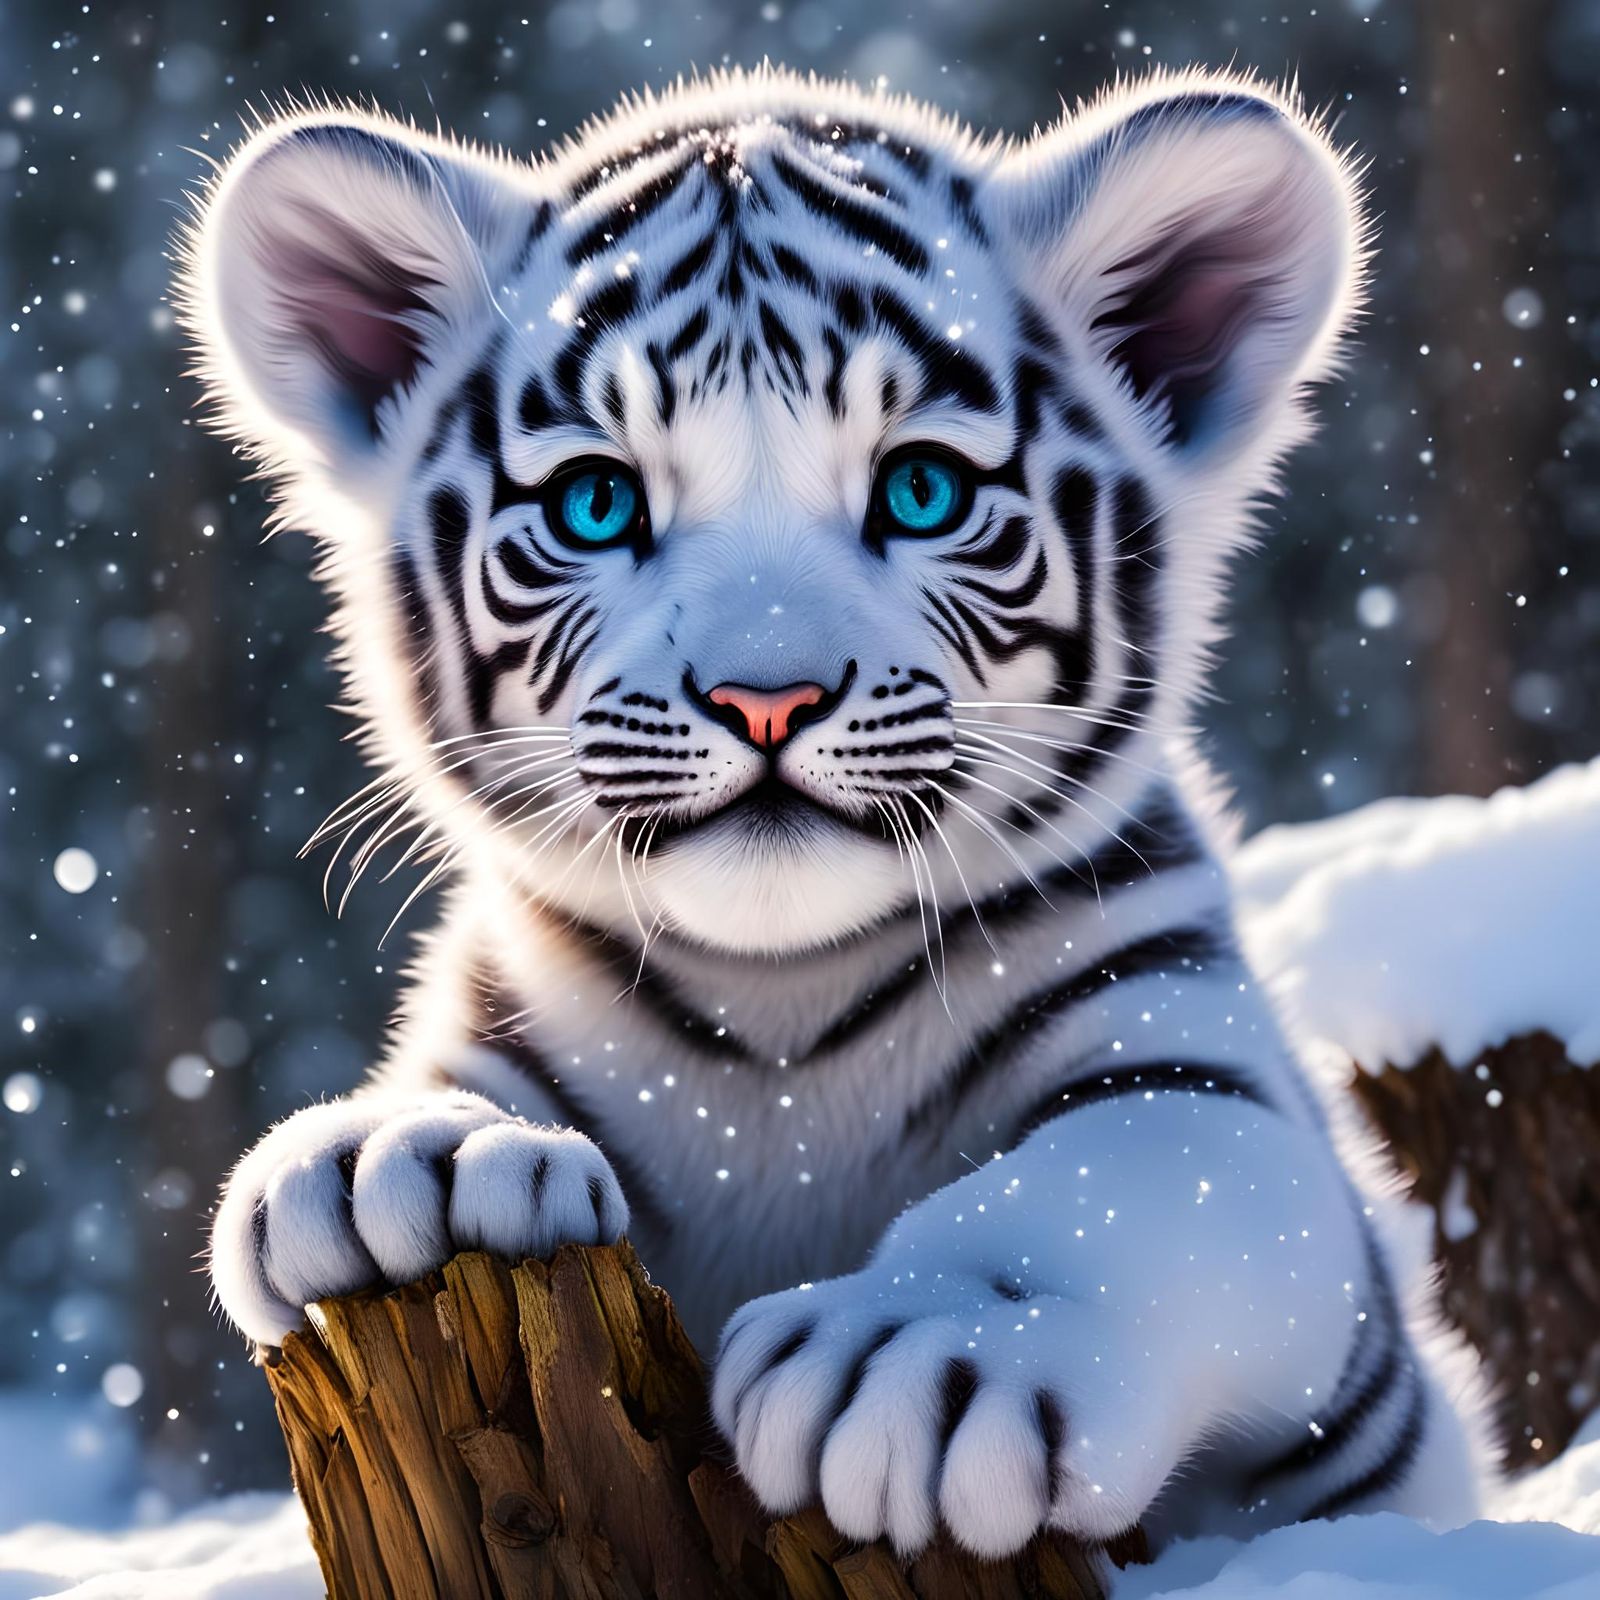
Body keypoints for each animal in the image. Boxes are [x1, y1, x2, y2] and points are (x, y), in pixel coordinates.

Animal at [182, 65, 1487, 1556]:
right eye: (595, 503)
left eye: (922, 489)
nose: (766, 697)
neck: (782, 1025)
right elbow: (457, 1094)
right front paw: (404, 1157)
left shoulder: (1206, 1082)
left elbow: (1112, 1191)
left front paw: (919, 1356)